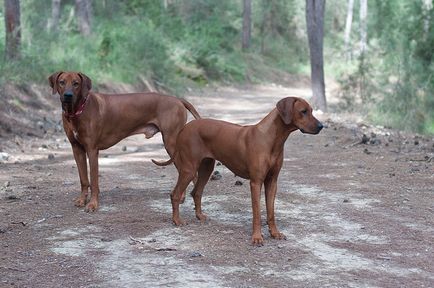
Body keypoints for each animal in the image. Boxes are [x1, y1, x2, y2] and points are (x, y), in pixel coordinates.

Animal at [48, 71, 201, 212]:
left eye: (76, 83)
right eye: (62, 82)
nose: (68, 95)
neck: (78, 111)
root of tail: (178, 99)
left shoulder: (92, 150)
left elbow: (94, 181)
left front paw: (93, 204)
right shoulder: (77, 149)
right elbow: (84, 179)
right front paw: (81, 200)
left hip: (171, 143)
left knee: (190, 172)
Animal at [154, 97, 324, 245]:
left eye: (311, 111)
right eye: (303, 111)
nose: (321, 126)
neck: (272, 139)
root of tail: (185, 127)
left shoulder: (272, 181)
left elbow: (271, 212)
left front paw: (274, 233)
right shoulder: (256, 182)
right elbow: (257, 213)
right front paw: (257, 237)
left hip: (206, 168)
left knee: (196, 192)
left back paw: (200, 216)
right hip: (189, 169)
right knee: (175, 194)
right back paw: (177, 220)